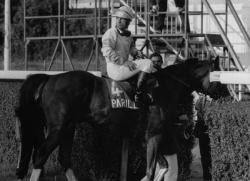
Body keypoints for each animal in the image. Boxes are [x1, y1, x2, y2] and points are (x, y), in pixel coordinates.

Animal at [14, 57, 220, 181]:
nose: (221, 92)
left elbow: (164, 168)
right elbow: (151, 170)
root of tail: (50, 79)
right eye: (218, 73)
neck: (164, 88)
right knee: (40, 155)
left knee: (64, 159)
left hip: (69, 128)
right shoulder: (153, 136)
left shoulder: (155, 137)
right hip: (58, 128)